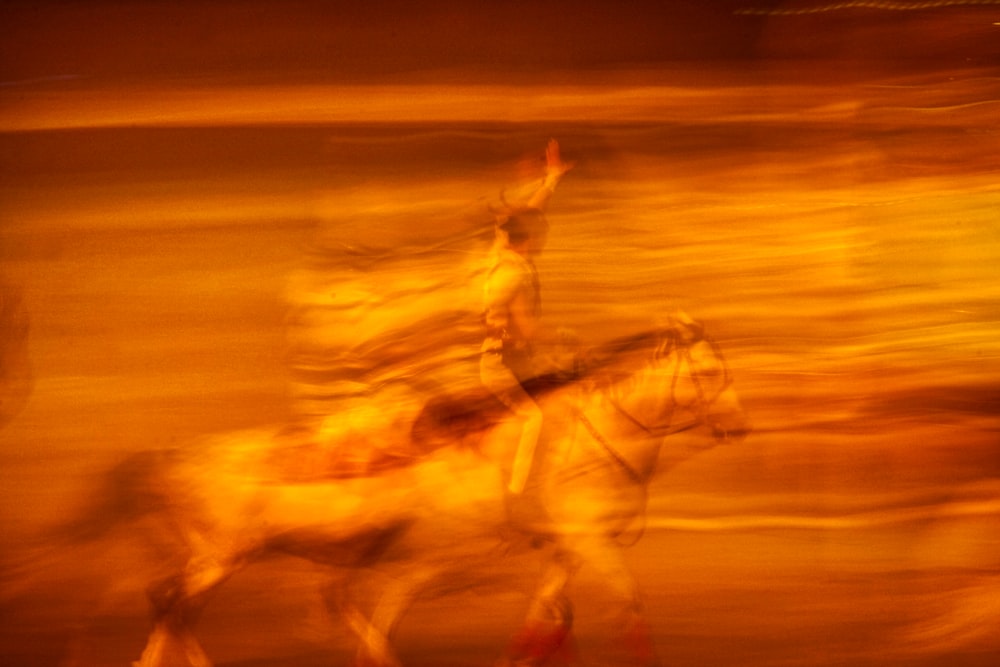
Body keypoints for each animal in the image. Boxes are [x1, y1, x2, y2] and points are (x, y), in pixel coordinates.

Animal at [62, 314, 748, 667]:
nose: (738, 427)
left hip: (239, 557)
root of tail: (171, 455)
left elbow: (547, 622)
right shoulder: (583, 542)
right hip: (223, 556)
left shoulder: (560, 548)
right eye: (708, 371)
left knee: (179, 605)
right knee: (173, 604)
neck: (591, 436)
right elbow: (623, 608)